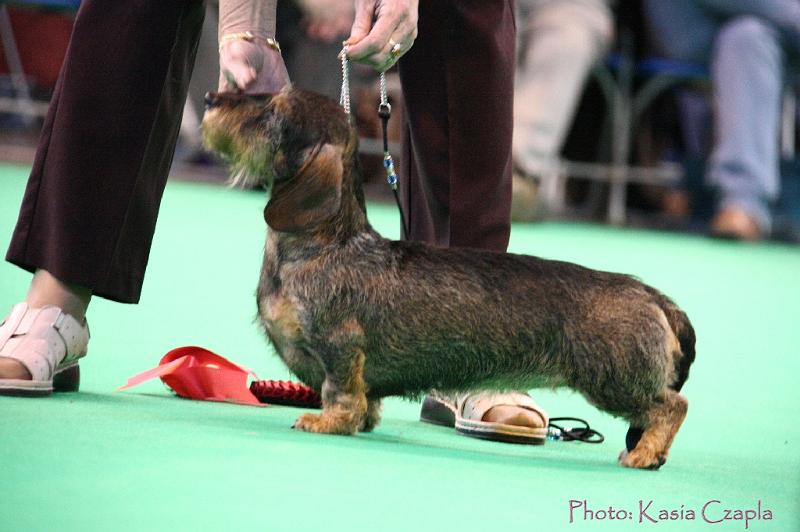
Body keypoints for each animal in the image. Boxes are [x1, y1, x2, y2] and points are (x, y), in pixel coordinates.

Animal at [203, 87, 696, 470]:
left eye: (274, 112)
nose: (210, 97)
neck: (327, 244)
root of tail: (654, 295)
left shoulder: (340, 346)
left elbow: (340, 392)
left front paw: (328, 422)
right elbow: (366, 398)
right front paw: (363, 420)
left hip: (613, 377)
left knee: (671, 406)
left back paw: (644, 453)